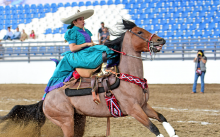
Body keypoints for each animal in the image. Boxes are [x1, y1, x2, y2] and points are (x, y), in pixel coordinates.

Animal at [0, 20, 179, 137]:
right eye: (140, 32)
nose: (161, 40)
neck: (128, 79)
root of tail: (46, 98)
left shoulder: (144, 106)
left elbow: (162, 117)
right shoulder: (134, 110)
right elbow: (154, 128)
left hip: (78, 120)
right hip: (66, 122)